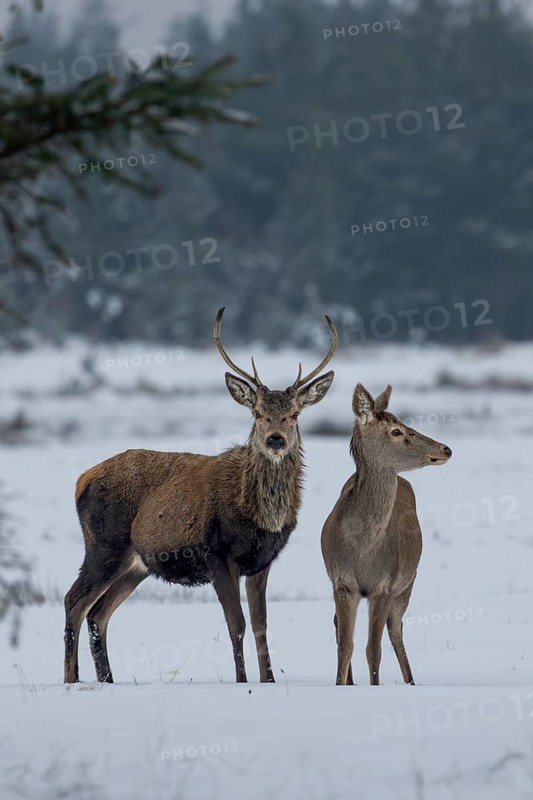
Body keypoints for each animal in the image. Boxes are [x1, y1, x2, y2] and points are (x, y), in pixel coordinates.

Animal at [64, 308, 337, 685]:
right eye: (257, 413)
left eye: (294, 414)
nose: (276, 439)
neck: (258, 514)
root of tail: (80, 480)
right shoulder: (216, 553)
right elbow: (236, 623)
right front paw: (242, 681)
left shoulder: (261, 561)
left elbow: (261, 625)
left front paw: (268, 681)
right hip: (104, 545)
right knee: (73, 602)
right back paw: (72, 679)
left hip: (135, 564)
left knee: (98, 613)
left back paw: (107, 680)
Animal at [321, 383, 452, 686]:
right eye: (396, 431)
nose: (446, 449)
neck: (362, 547)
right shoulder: (342, 583)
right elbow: (346, 645)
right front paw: (339, 684)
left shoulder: (384, 585)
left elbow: (373, 649)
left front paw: (375, 685)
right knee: (339, 623)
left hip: (407, 583)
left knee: (396, 628)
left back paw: (410, 681)